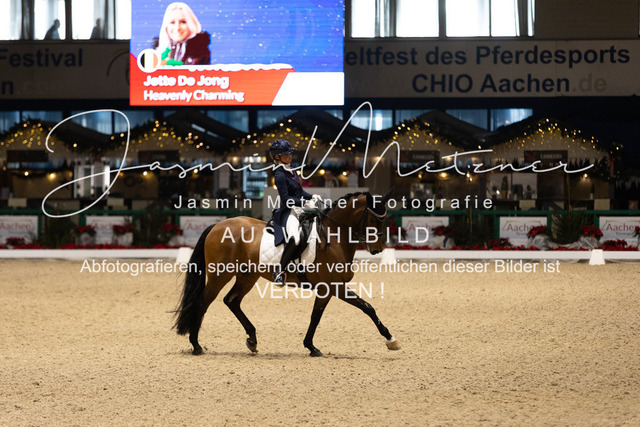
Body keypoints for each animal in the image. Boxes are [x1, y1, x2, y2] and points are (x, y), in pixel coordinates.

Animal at [173, 191, 401, 357]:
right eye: (374, 219)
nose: (377, 249)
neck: (334, 237)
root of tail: (217, 225)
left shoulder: (328, 289)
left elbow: (321, 315)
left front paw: (311, 346)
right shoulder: (332, 287)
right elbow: (363, 308)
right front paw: (391, 340)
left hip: (247, 276)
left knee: (231, 300)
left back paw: (252, 340)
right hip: (220, 275)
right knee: (202, 303)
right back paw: (196, 345)